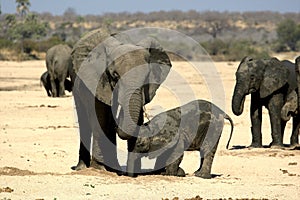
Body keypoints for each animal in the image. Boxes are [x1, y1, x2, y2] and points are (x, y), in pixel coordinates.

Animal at [70, 28, 171, 177]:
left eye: (147, 76)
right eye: (115, 75)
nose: (118, 123)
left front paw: (132, 173)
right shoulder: (97, 82)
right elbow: (100, 119)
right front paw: (98, 169)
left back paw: (114, 168)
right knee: (84, 120)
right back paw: (82, 168)